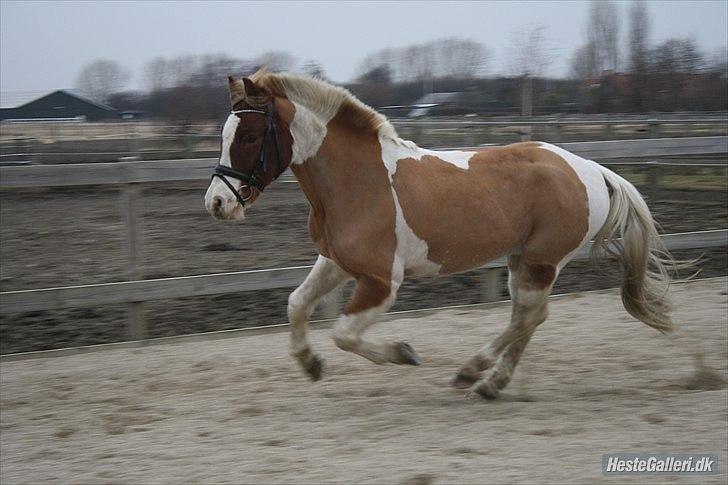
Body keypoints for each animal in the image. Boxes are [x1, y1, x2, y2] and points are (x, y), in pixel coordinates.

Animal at [202, 70, 672, 398]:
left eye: (249, 135)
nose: (217, 203)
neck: (358, 180)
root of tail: (590, 168)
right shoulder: (336, 261)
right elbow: (297, 304)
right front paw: (309, 364)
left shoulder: (381, 281)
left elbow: (344, 334)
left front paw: (403, 353)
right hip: (521, 259)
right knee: (528, 317)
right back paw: (489, 384)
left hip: (542, 261)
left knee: (527, 316)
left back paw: (472, 373)